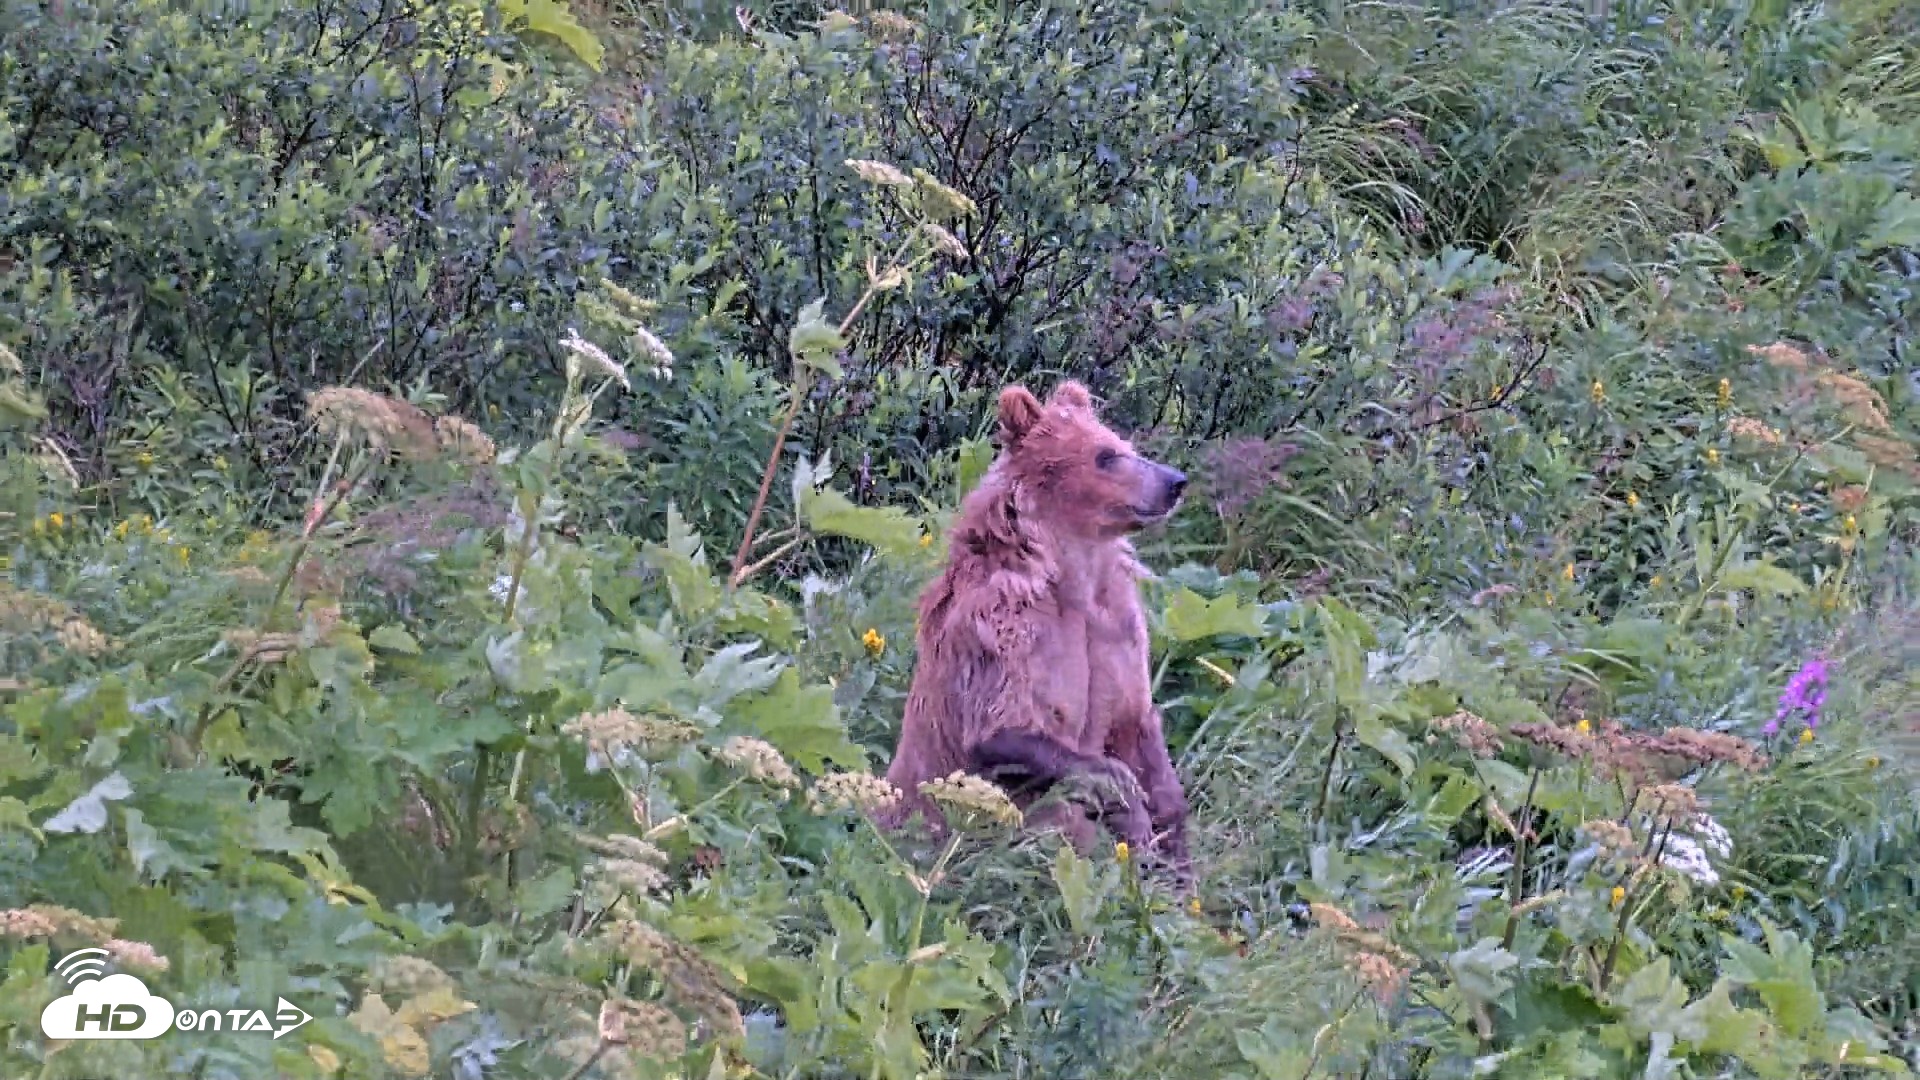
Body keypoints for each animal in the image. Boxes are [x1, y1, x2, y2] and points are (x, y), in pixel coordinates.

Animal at [878, 378, 1194, 887]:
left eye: (1126, 445)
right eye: (1106, 455)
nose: (1174, 481)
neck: (1074, 575)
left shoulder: (1118, 630)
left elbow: (1137, 726)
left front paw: (1169, 849)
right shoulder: (1006, 629)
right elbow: (1007, 729)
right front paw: (1125, 799)